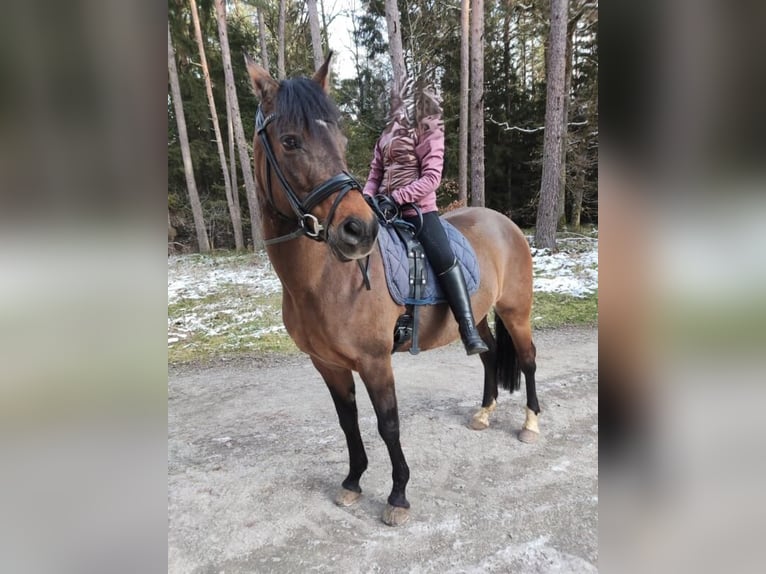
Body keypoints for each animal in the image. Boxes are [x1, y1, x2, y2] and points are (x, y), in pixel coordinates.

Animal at [246, 53, 540, 528]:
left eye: (340, 138)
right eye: (290, 141)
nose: (358, 229)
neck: (325, 281)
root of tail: (505, 222)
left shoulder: (375, 361)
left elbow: (388, 424)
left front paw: (398, 495)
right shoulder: (327, 364)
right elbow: (348, 421)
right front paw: (352, 482)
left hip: (517, 311)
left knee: (528, 359)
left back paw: (531, 424)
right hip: (477, 315)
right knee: (490, 354)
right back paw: (483, 412)